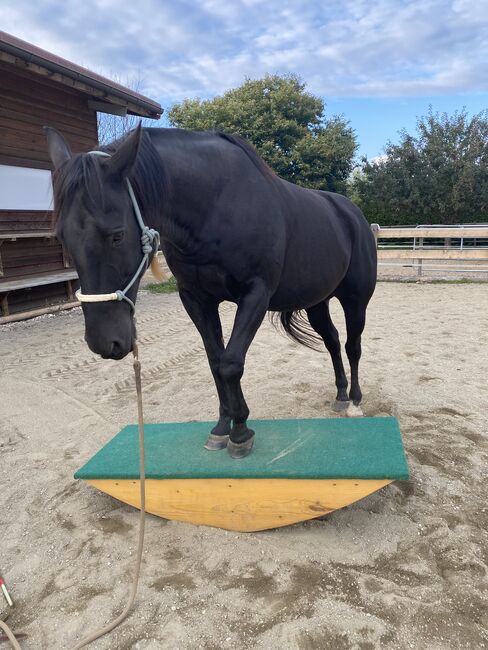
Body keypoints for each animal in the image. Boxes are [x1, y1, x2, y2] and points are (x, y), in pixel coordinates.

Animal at [45, 125, 376, 456]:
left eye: (117, 235)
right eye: (62, 237)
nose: (103, 342)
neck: (215, 208)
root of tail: (354, 215)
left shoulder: (255, 295)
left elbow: (231, 363)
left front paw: (240, 432)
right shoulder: (197, 299)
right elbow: (216, 362)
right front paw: (222, 427)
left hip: (355, 301)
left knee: (352, 346)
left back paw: (355, 401)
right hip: (316, 301)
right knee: (332, 341)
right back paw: (341, 395)